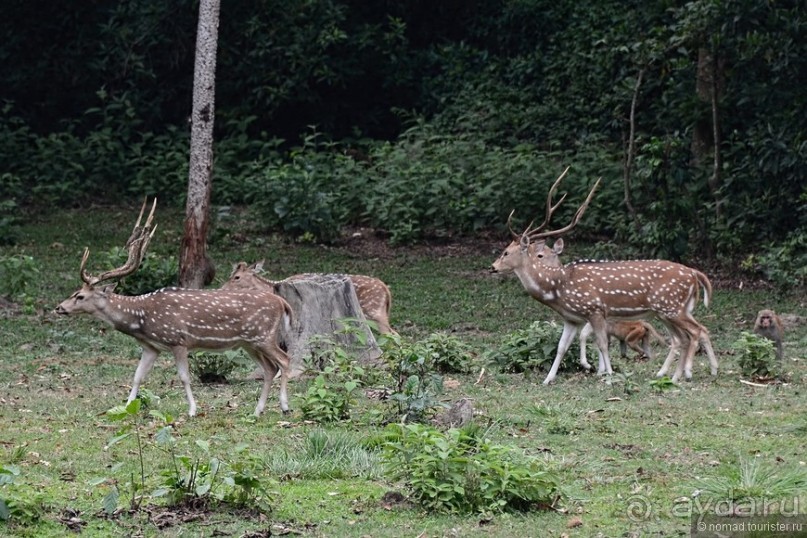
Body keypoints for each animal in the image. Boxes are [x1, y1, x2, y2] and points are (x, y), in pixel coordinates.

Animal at [54, 200, 294, 414]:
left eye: (80, 296)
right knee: (270, 368)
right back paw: (258, 410)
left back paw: (284, 407)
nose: (58, 307)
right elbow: (137, 376)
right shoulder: (151, 347)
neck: (141, 319)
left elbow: (184, 377)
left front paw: (192, 410)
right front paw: (126, 407)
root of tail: (282, 302)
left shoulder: (178, 340)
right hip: (248, 342)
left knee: (284, 360)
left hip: (263, 336)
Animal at [492, 166, 720, 382]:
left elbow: (602, 344)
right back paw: (674, 376)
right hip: (667, 311)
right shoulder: (572, 318)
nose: (492, 267)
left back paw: (694, 372)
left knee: (696, 331)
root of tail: (694, 273)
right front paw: (548, 380)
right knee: (683, 337)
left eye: (506, 252)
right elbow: (561, 346)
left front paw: (607, 375)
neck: (557, 289)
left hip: (672, 307)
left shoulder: (594, 309)